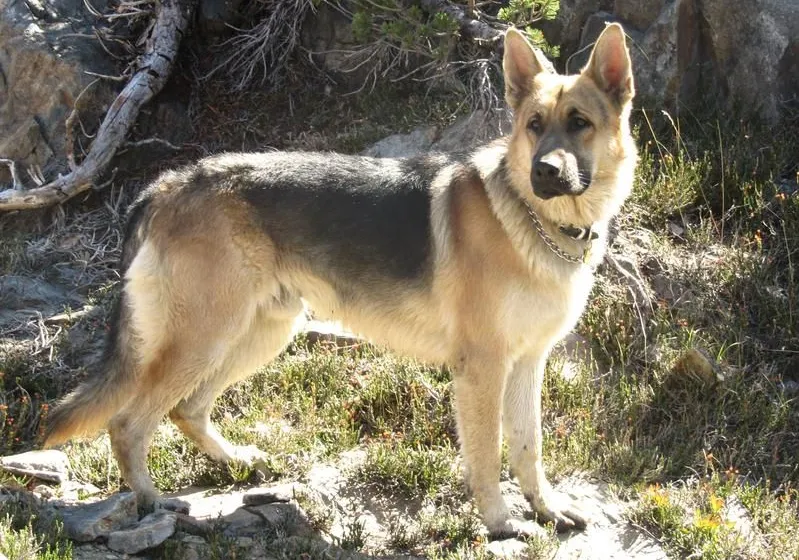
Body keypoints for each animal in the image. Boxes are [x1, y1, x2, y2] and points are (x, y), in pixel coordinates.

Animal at [48, 24, 636, 536]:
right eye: (534, 124)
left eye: (579, 122)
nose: (544, 173)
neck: (536, 222)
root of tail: (167, 184)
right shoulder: (482, 369)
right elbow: (488, 458)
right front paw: (499, 524)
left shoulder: (527, 364)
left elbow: (528, 449)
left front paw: (546, 508)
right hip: (205, 339)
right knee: (129, 423)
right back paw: (152, 501)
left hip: (258, 334)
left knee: (185, 409)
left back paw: (237, 462)